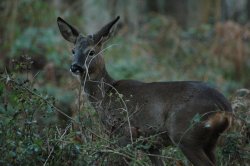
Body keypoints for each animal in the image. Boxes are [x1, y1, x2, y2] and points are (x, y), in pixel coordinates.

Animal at [57, 15, 232, 166]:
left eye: (91, 52)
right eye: (73, 50)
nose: (75, 67)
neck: (105, 95)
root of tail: (225, 109)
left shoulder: (126, 131)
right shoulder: (151, 145)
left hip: (186, 135)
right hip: (210, 142)